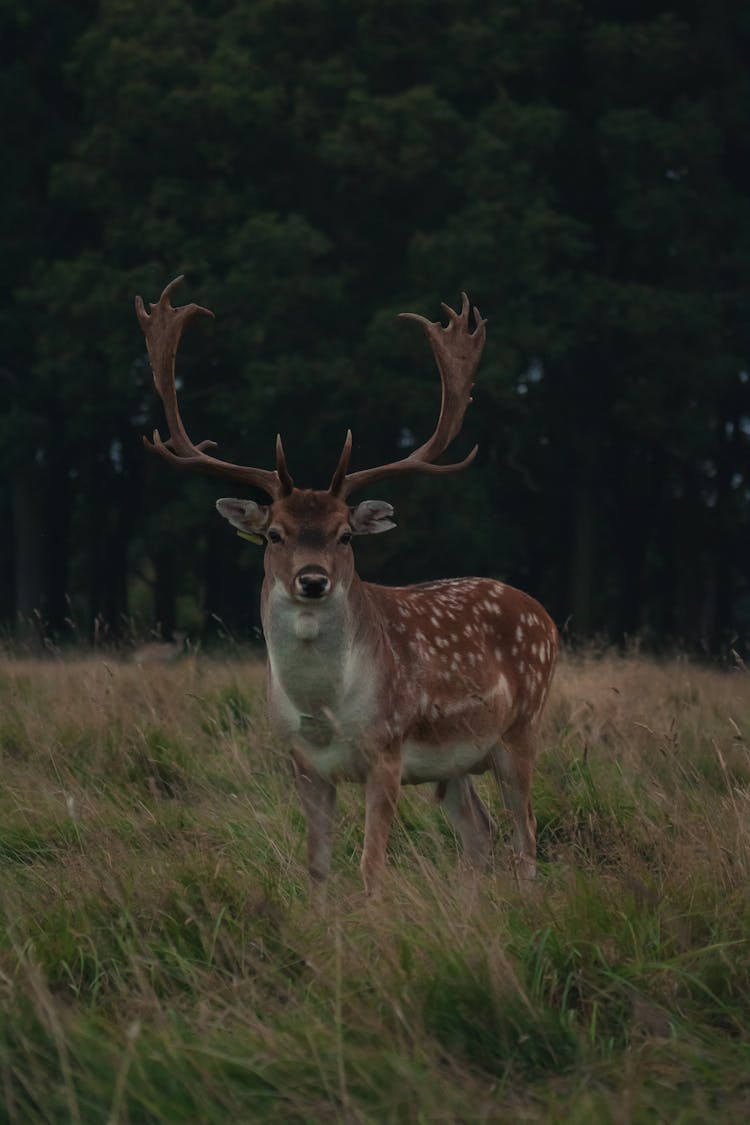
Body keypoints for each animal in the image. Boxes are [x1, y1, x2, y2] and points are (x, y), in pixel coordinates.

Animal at [134, 279, 557, 895]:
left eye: (345, 535)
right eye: (274, 534)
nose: (313, 579)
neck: (324, 710)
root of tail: (543, 614)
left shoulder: (387, 748)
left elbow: (370, 866)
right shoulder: (302, 763)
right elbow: (317, 867)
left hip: (522, 728)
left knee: (527, 838)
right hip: (454, 762)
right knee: (481, 833)